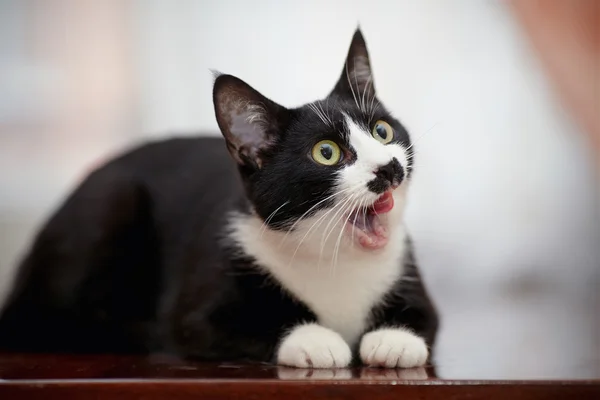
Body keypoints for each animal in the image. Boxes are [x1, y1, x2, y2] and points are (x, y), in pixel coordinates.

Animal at [0, 28, 436, 368]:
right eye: (326, 152)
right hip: (111, 200)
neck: (336, 257)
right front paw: (316, 339)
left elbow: (426, 317)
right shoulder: (196, 306)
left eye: (382, 131)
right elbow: (230, 324)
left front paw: (395, 338)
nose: (388, 168)